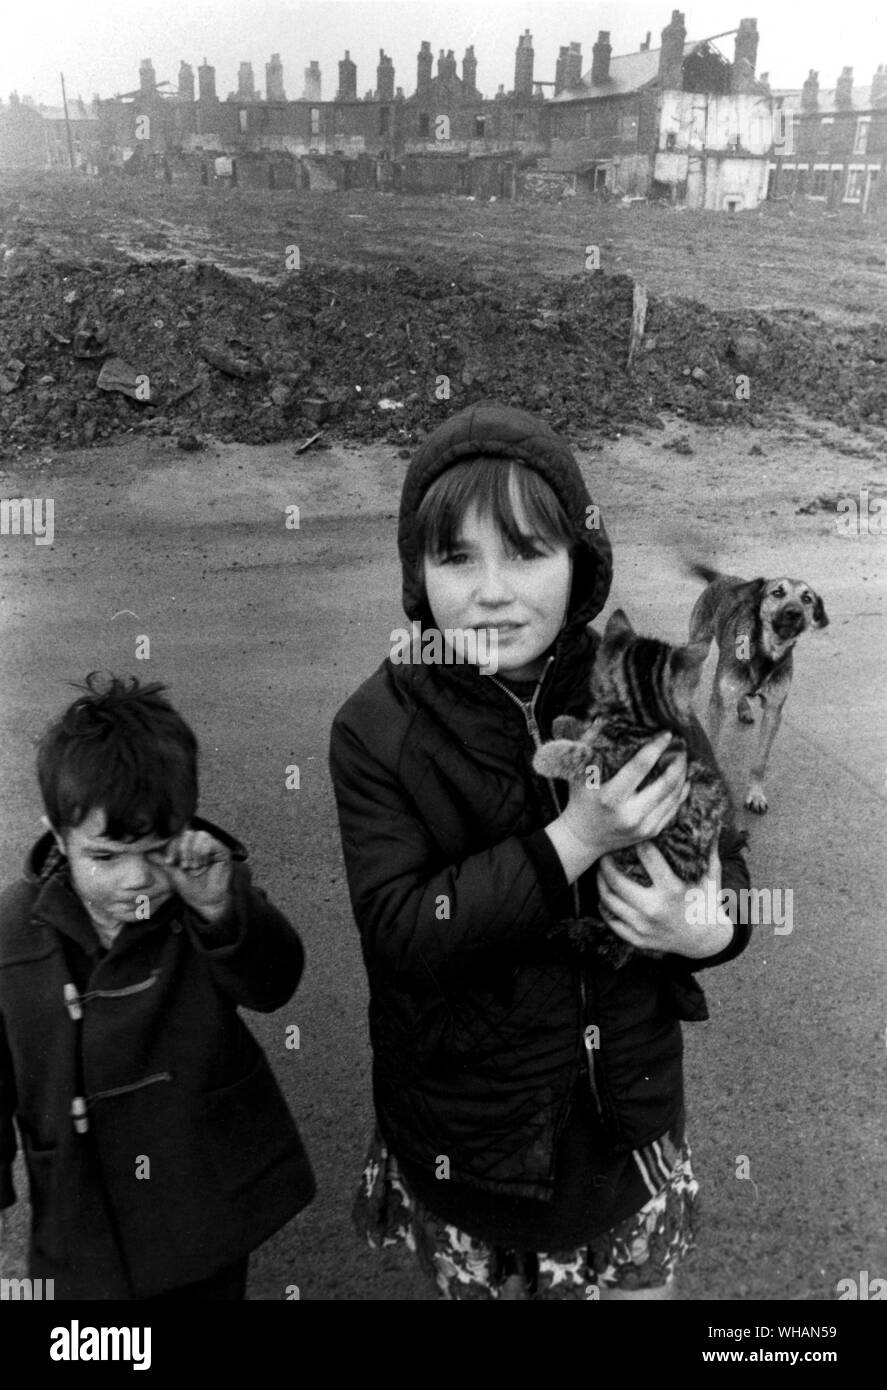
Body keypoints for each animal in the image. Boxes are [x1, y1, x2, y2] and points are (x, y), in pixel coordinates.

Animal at [533, 608, 728, 967]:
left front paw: (548, 754)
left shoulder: (621, 766)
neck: (641, 712)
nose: (559, 724)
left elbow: (587, 756)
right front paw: (567, 724)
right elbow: (588, 734)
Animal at [692, 558, 828, 811]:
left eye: (807, 598)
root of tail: (721, 577)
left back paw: (744, 709)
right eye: (777, 592)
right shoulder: (718, 706)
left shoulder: (773, 712)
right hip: (699, 645)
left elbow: (760, 761)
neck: (767, 654)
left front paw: (755, 794)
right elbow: (713, 745)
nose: (794, 613)